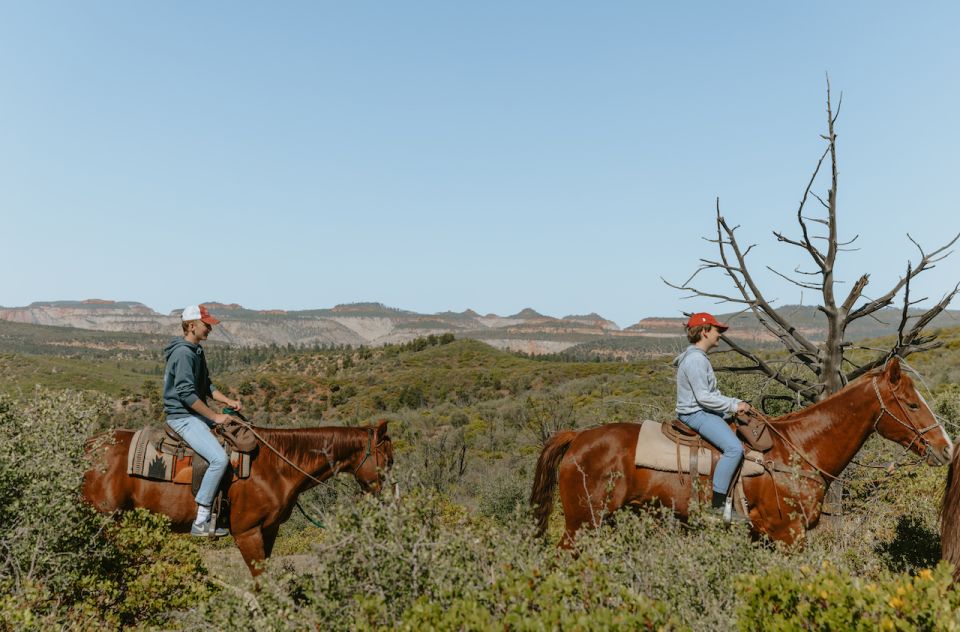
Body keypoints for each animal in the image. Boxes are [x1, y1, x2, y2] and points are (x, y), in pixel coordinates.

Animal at [82, 418, 394, 576]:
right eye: (388, 460)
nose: (388, 499)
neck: (276, 466)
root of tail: (88, 445)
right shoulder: (247, 532)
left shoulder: (269, 530)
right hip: (107, 522)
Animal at [532, 360, 952, 548]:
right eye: (912, 404)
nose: (946, 448)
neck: (798, 451)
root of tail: (578, 437)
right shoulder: (789, 535)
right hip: (582, 523)